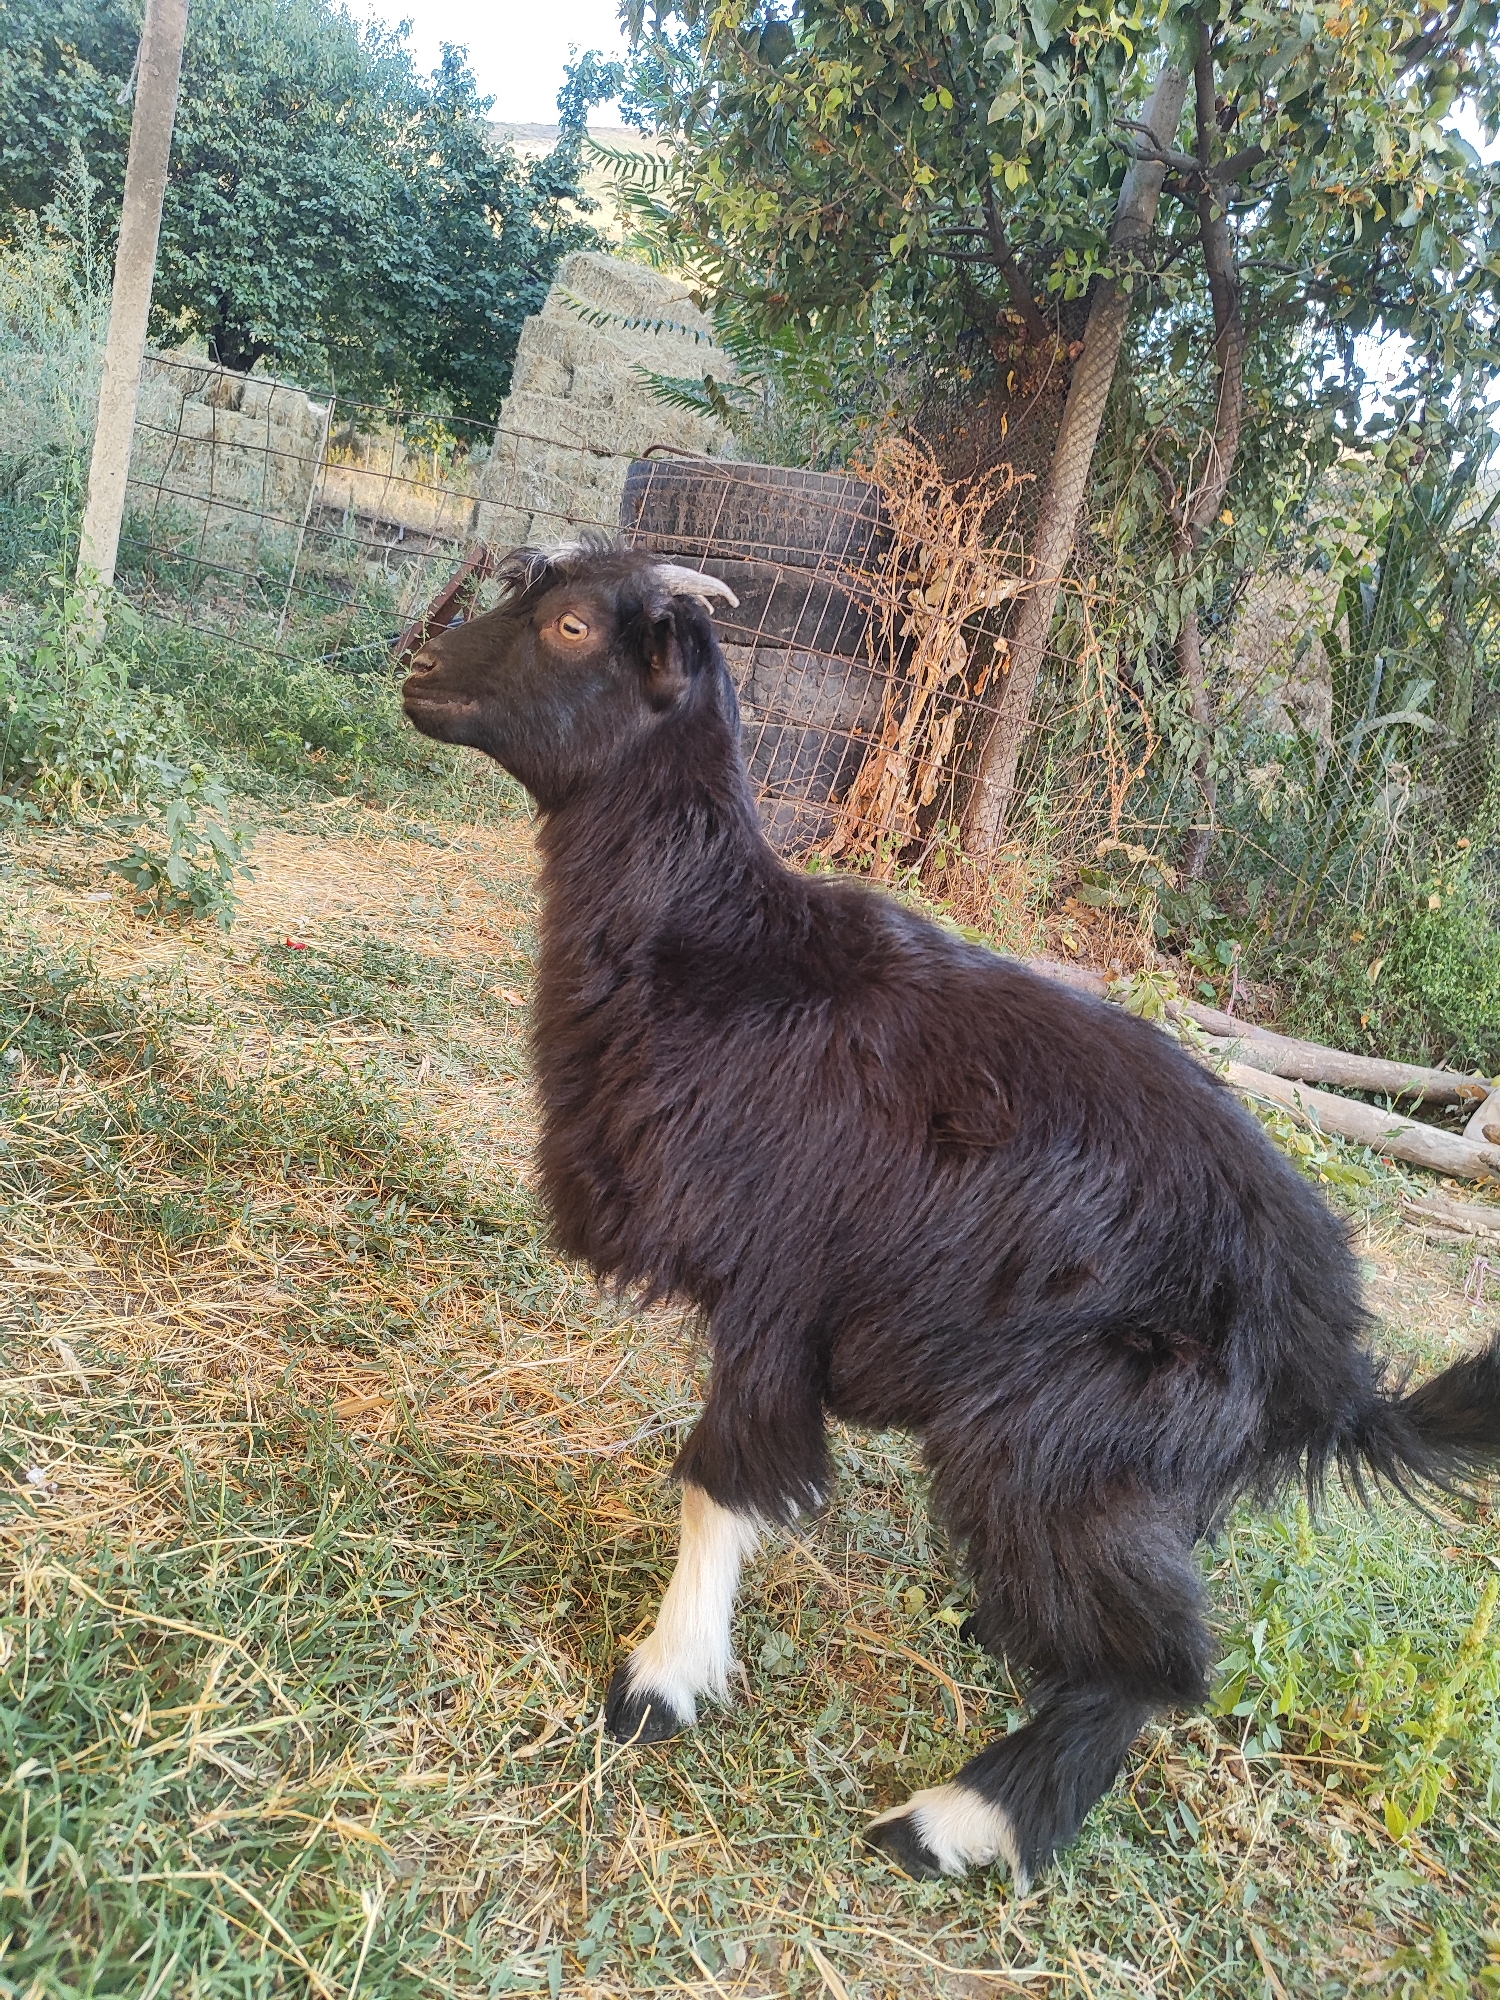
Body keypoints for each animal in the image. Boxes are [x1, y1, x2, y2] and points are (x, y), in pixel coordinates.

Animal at [402, 543, 1500, 1891]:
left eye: (569, 627)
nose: (417, 666)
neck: (721, 954)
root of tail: (1331, 1356)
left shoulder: (779, 1290)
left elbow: (724, 1477)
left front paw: (658, 1684)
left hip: (1059, 1434)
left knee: (1165, 1661)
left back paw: (959, 1817)